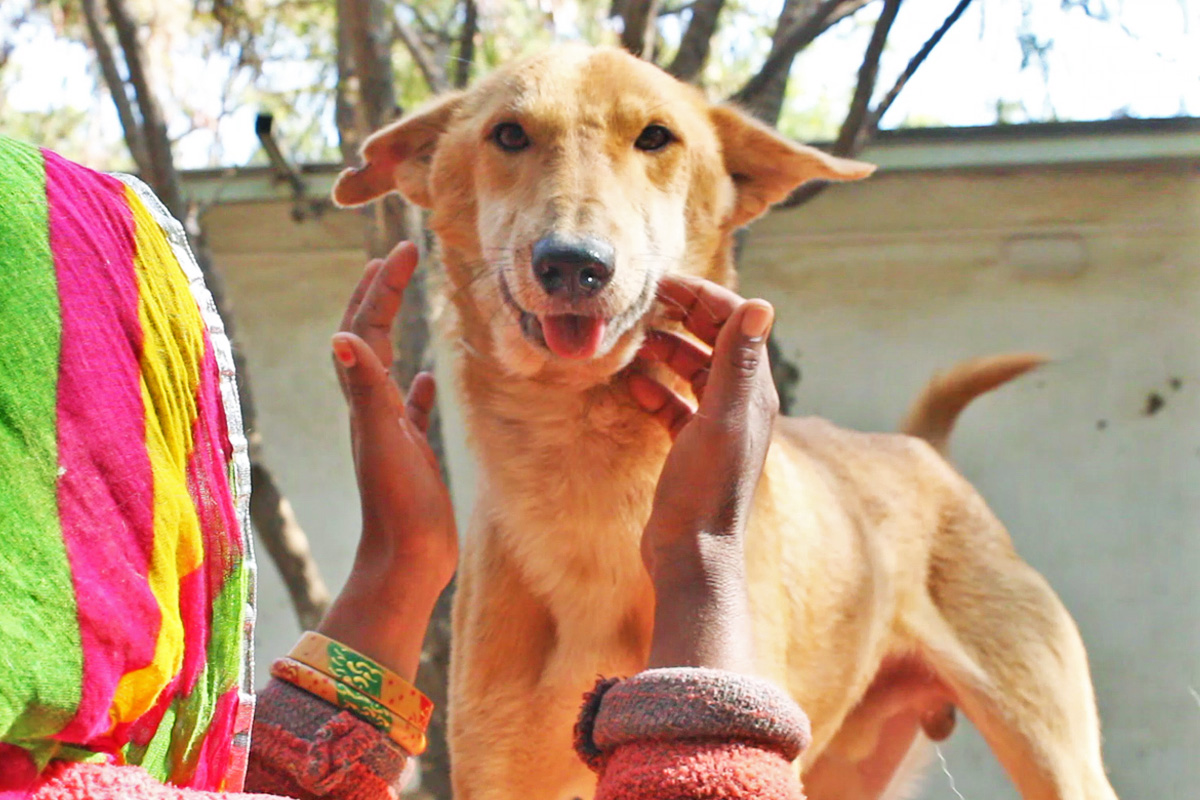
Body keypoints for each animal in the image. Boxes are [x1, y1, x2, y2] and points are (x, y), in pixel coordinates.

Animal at [336, 42, 1113, 800]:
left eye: (656, 137)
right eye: (508, 134)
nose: (573, 263)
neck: (589, 488)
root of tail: (922, 448)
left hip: (1055, 755)